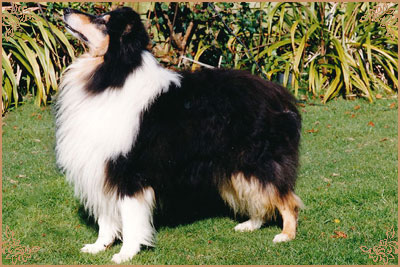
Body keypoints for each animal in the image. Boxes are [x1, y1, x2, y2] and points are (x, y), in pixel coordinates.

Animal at [54, 7, 302, 264]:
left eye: (103, 21)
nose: (66, 10)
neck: (112, 75)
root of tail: (279, 95)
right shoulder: (101, 167)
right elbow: (106, 218)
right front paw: (99, 246)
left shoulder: (128, 173)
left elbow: (131, 219)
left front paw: (126, 253)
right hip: (237, 167)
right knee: (261, 199)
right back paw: (250, 225)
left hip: (258, 163)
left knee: (287, 200)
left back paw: (286, 235)